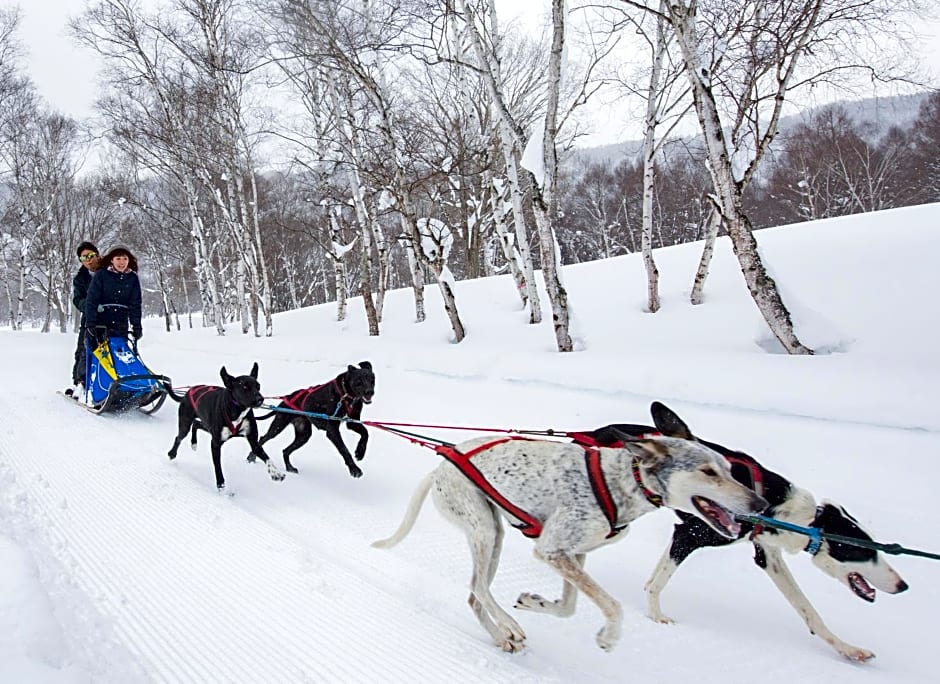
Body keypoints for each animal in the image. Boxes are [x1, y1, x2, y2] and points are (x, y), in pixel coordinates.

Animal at [165, 364, 284, 492]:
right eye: (245, 387)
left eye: (258, 386)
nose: (260, 399)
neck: (237, 410)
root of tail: (188, 392)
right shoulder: (216, 442)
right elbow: (217, 465)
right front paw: (221, 485)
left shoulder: (252, 440)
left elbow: (265, 456)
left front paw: (276, 472)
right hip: (185, 424)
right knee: (179, 437)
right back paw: (172, 453)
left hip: (207, 425)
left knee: (196, 424)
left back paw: (194, 443)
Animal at [370, 404, 768, 656]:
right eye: (708, 472)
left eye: (729, 470)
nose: (761, 505)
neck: (623, 480)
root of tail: (439, 467)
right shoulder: (551, 550)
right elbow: (612, 605)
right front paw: (609, 636)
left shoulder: (571, 554)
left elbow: (569, 606)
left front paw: (536, 602)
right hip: (483, 529)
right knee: (479, 587)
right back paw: (509, 626)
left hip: (493, 534)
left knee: (473, 594)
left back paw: (502, 636)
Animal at [580, 420, 912, 660]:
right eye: (862, 552)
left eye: (877, 550)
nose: (903, 586)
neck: (777, 506)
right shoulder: (689, 534)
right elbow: (656, 583)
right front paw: (656, 616)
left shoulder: (768, 555)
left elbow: (807, 609)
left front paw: (847, 648)